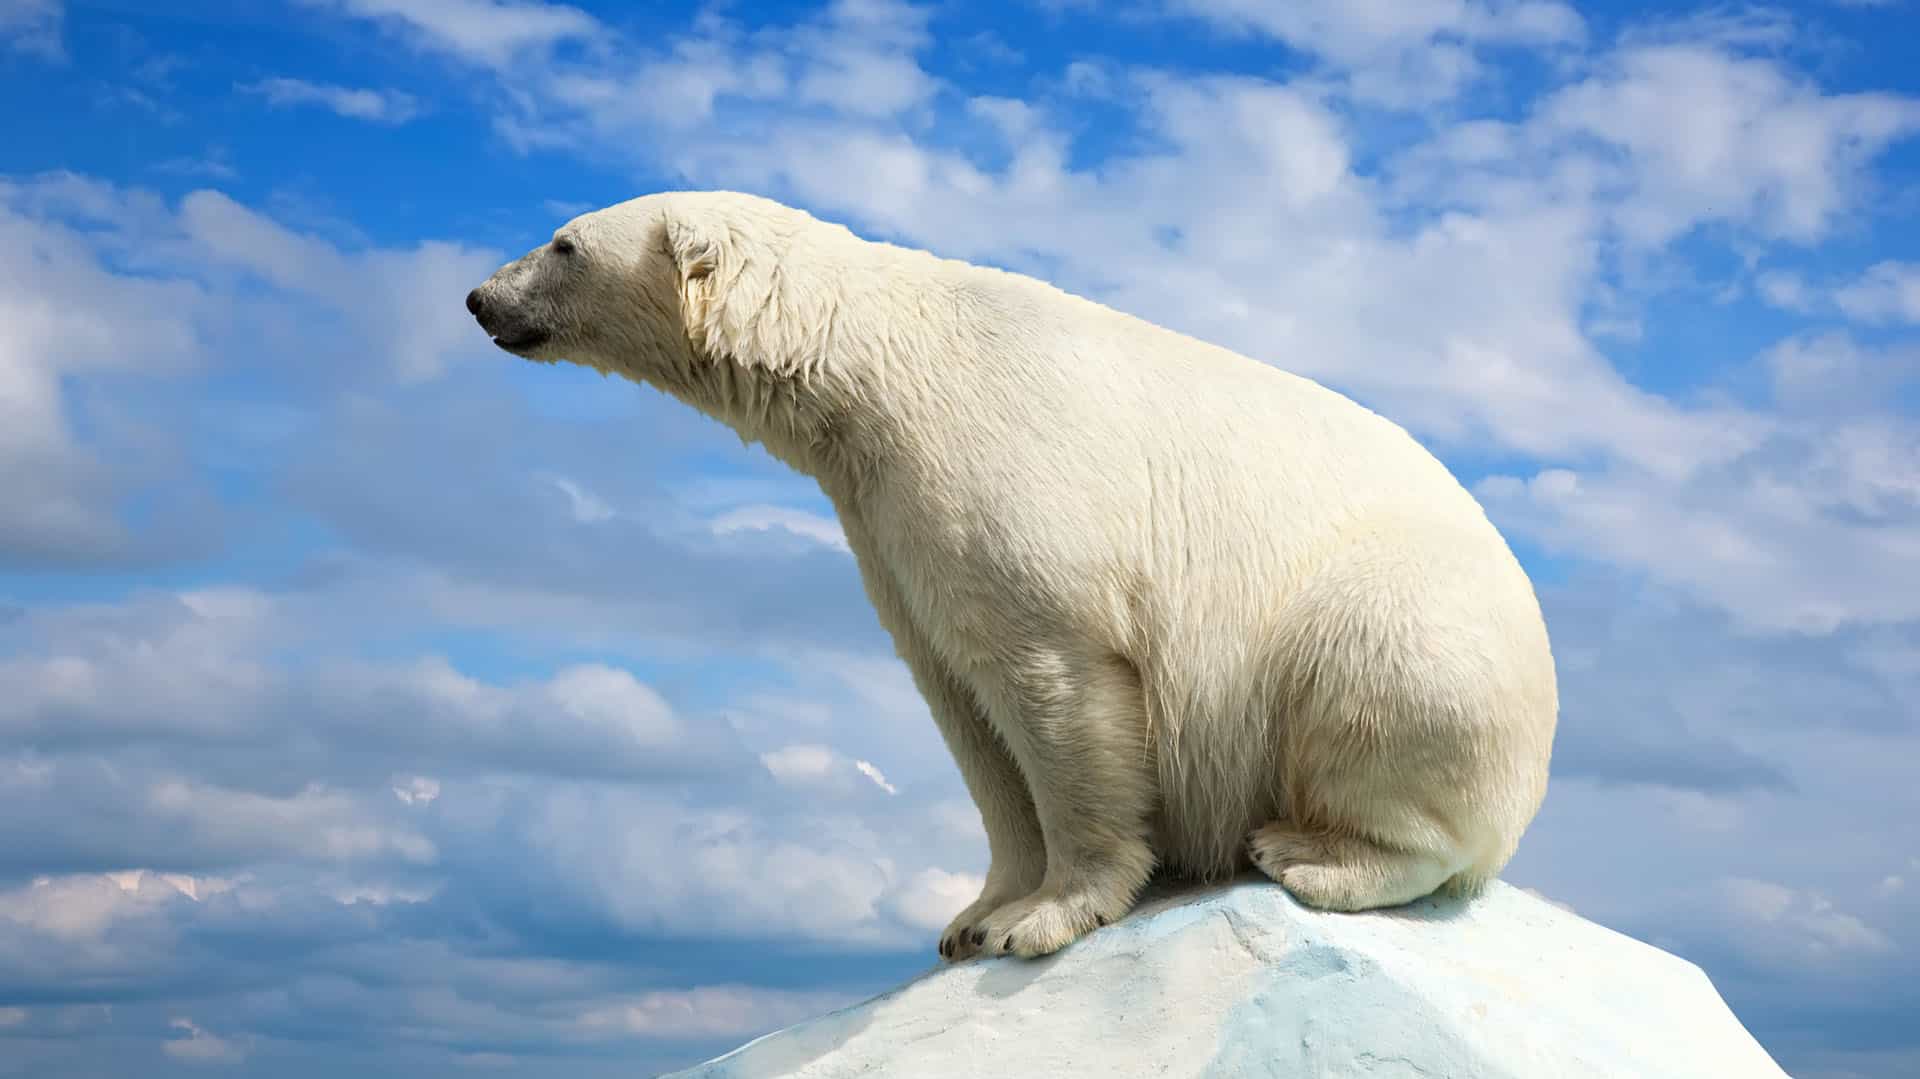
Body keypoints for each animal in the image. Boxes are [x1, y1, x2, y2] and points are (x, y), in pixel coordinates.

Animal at [465, 191, 1559, 961]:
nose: (479, 298)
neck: (873, 368)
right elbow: (965, 708)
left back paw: (1306, 851)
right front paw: (973, 915)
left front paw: (1046, 916)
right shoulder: (887, 522)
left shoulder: (1004, 486)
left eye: (563, 242)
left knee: (1380, 696)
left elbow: (1054, 689)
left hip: (1406, 627)